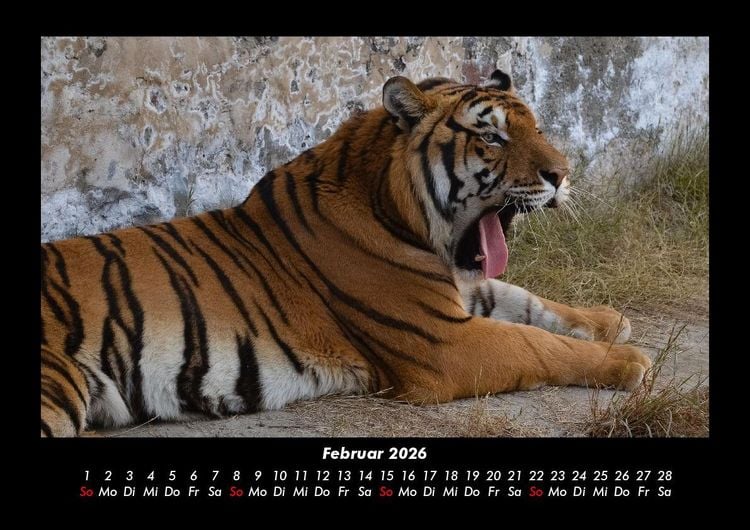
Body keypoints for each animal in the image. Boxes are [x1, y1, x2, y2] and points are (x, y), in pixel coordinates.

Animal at [41, 69, 651, 437]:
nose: (562, 175)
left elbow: (525, 300)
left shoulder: (461, 292)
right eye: (493, 138)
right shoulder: (444, 342)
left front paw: (608, 319)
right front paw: (628, 360)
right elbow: (536, 343)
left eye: (538, 128)